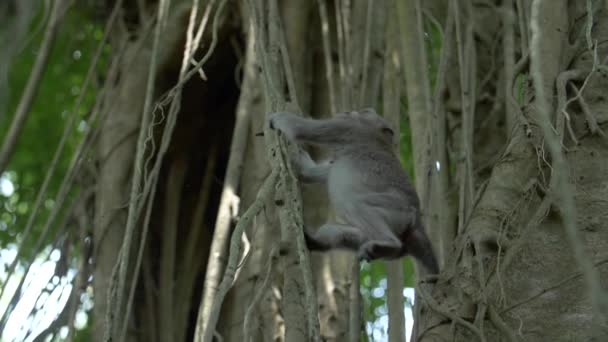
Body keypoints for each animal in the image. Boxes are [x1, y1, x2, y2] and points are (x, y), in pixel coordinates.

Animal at [268, 108, 440, 274]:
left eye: (365, 112)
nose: (349, 112)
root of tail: (417, 223)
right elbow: (309, 173)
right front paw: (298, 160)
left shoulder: (348, 128)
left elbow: (300, 129)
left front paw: (277, 117)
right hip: (378, 235)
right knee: (339, 230)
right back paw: (314, 241)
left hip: (398, 211)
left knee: (355, 204)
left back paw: (389, 244)